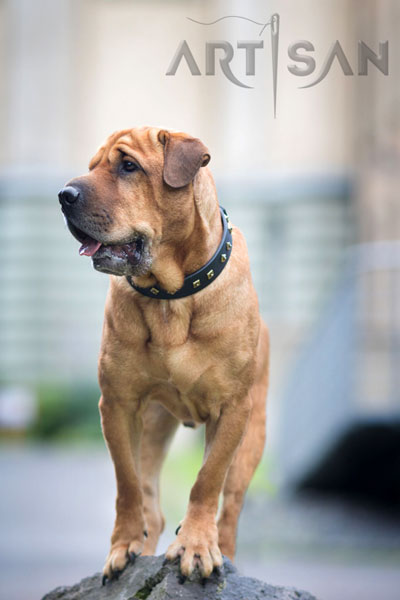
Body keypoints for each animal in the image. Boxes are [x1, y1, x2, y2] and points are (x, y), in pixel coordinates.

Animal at [58, 125, 268, 580]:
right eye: (92, 167)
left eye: (128, 166)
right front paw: (123, 547)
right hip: (153, 425)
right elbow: (127, 484)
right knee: (149, 500)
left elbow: (207, 480)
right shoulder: (117, 404)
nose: (63, 195)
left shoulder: (234, 409)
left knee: (231, 510)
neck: (172, 294)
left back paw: (222, 549)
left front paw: (196, 546)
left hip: (252, 440)